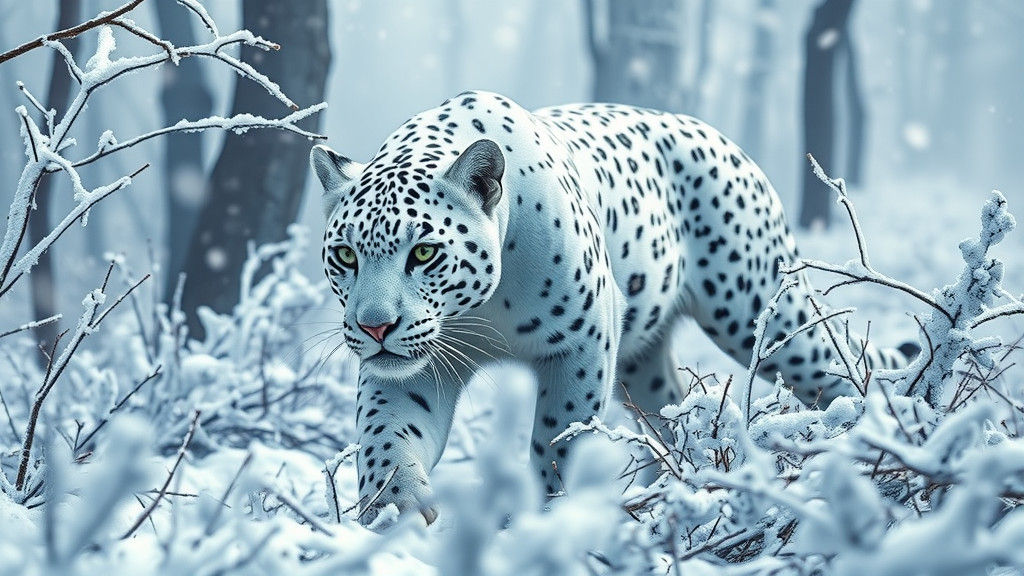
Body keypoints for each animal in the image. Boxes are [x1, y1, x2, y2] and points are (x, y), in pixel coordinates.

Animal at [309, 90, 915, 527]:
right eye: (345, 255)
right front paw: (395, 517)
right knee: (672, 411)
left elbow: (558, 438)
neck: (484, 307)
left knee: (841, 369)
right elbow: (385, 436)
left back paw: (877, 443)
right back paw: (681, 482)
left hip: (764, 316)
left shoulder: (582, 343)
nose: (374, 326)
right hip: (643, 361)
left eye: (424, 252)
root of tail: (728, 144)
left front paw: (544, 518)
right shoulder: (414, 367)